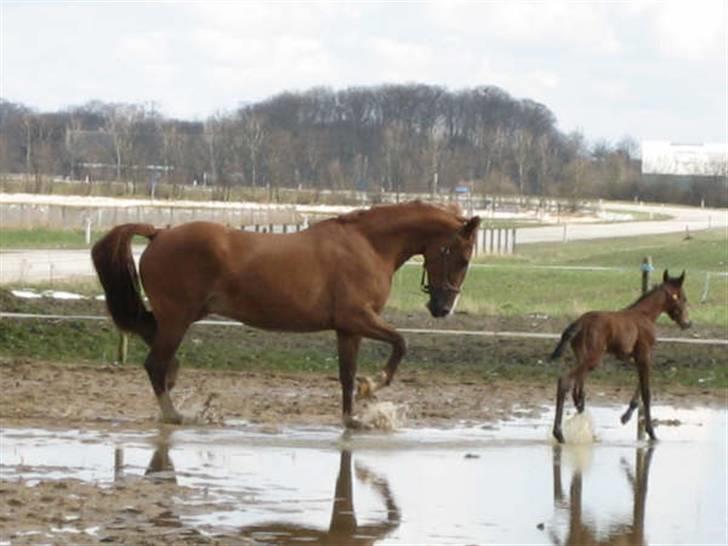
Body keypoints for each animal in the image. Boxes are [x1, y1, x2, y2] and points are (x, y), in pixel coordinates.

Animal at [92, 200, 478, 424]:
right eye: (461, 257)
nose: (442, 308)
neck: (368, 245)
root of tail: (159, 233)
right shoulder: (358, 318)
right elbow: (400, 344)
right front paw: (373, 386)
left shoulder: (348, 329)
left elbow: (347, 376)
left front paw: (352, 419)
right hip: (178, 318)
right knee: (153, 363)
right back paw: (176, 414)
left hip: (181, 316)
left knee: (148, 335)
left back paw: (176, 384)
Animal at [552, 268, 688, 442]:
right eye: (683, 298)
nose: (687, 323)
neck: (645, 315)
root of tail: (580, 322)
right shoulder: (644, 354)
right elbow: (647, 392)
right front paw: (651, 432)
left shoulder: (630, 357)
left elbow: (640, 384)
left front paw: (626, 416)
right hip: (592, 358)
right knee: (565, 382)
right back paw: (559, 433)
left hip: (582, 357)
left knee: (578, 392)